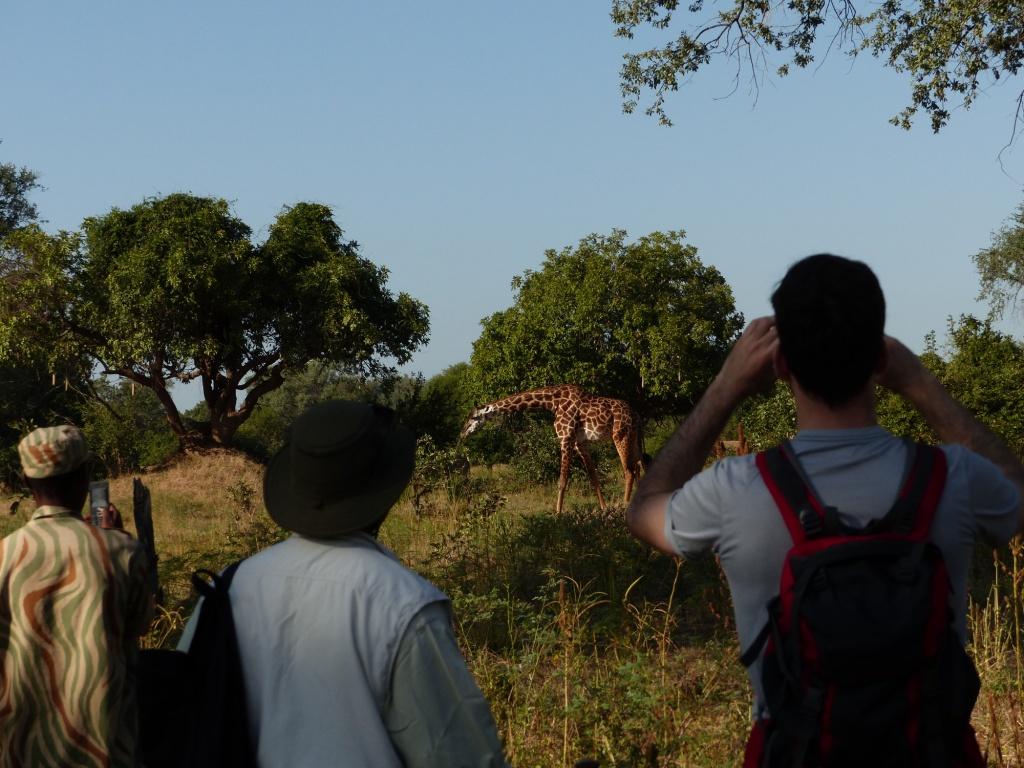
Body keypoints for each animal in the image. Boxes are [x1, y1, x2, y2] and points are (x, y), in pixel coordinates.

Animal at [460, 385, 643, 518]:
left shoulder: (565, 438)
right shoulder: (580, 442)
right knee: (639, 466)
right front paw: (604, 509)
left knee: (629, 470)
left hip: (620, 434)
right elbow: (593, 477)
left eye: (474, 417)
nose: (462, 434)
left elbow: (562, 481)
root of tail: (636, 414)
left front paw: (558, 514)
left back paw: (625, 506)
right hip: (633, 437)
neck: (552, 403)